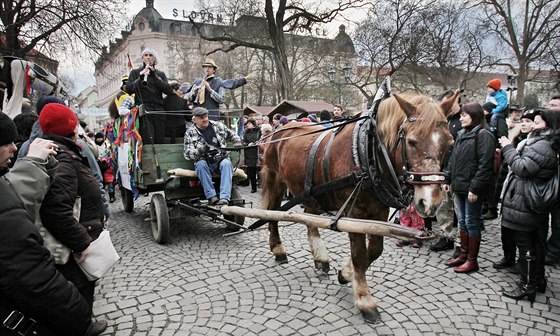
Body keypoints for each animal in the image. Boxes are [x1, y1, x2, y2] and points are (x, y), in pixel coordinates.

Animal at [258, 89, 460, 322]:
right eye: (411, 141)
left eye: (450, 143)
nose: (430, 202)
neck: (368, 152)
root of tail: (280, 129)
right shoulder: (354, 212)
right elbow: (360, 255)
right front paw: (364, 300)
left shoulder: (379, 211)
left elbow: (374, 251)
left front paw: (346, 273)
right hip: (276, 181)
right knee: (272, 214)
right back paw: (278, 249)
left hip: (310, 191)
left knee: (310, 218)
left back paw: (321, 258)